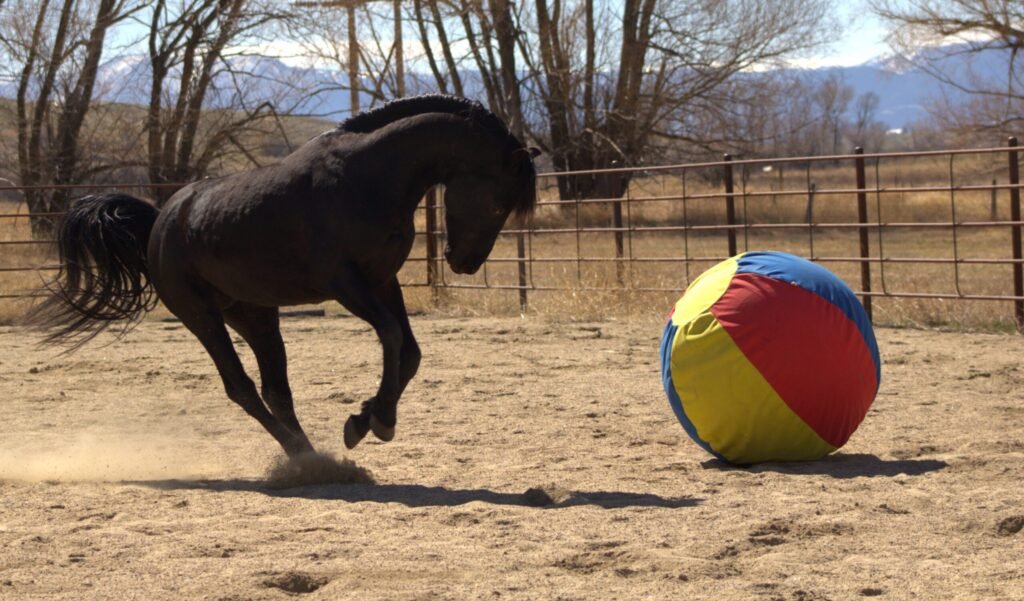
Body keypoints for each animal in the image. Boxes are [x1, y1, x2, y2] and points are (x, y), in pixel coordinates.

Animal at [26, 95, 539, 457]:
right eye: (499, 204)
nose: (464, 263)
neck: (369, 175)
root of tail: (159, 222)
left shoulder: (382, 280)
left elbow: (409, 352)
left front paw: (366, 418)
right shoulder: (346, 284)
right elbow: (393, 338)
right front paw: (377, 420)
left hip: (254, 314)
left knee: (277, 390)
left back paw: (314, 456)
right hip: (202, 317)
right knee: (243, 388)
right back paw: (301, 456)